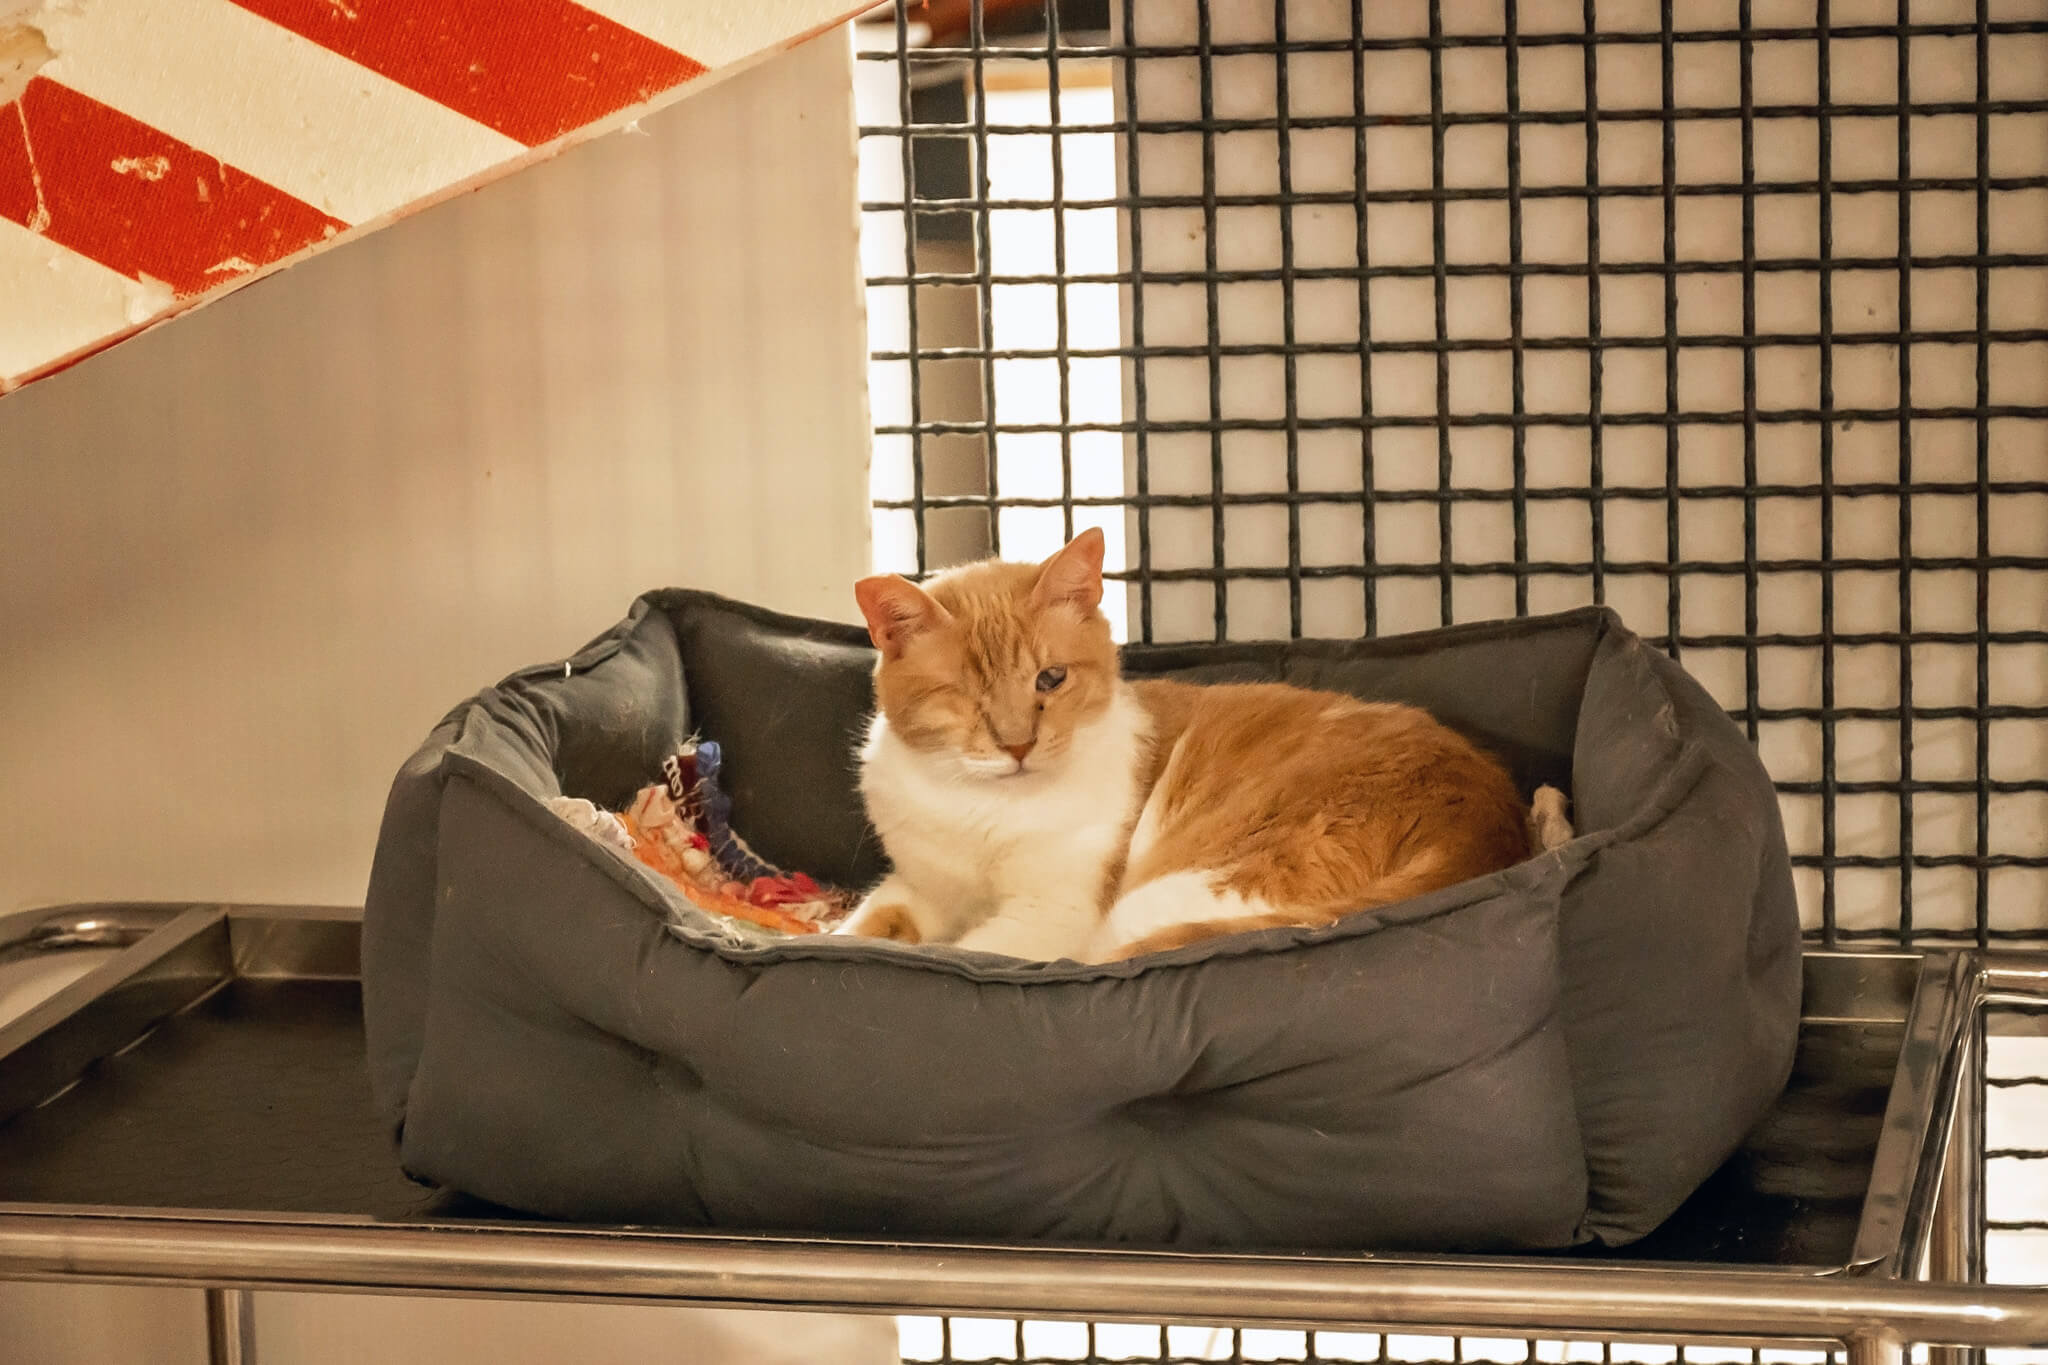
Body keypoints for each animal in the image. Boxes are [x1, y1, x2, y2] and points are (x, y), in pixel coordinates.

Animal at [831, 527, 1564, 965]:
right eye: (963, 694)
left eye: (1051, 679)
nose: (1018, 744)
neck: (980, 809)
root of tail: (1483, 817)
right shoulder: (916, 883)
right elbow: (866, 925)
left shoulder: (1053, 916)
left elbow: (963, 951)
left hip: (1166, 897)